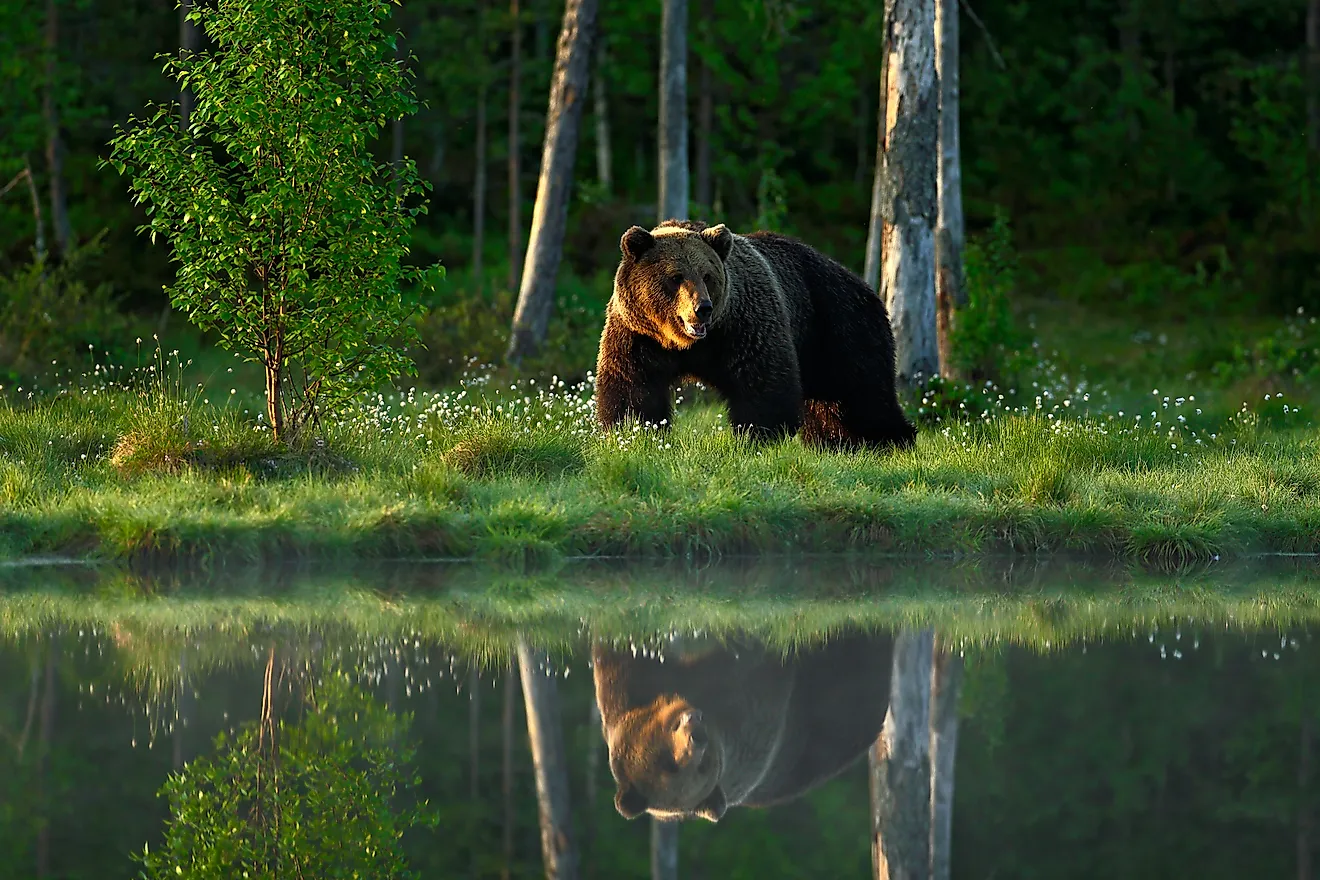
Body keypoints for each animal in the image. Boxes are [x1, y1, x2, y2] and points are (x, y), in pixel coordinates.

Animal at [594, 219, 913, 451]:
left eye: (707, 276)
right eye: (676, 277)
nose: (703, 308)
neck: (687, 345)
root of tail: (864, 285)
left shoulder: (744, 325)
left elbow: (762, 383)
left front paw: (757, 436)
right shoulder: (638, 335)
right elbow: (633, 388)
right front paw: (634, 431)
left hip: (838, 324)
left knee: (862, 393)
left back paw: (887, 440)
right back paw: (835, 442)